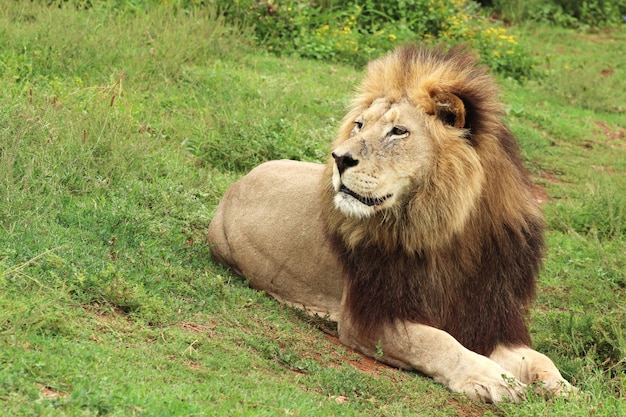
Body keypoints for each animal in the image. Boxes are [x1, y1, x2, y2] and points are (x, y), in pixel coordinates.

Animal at [207, 45, 572, 404]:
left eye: (398, 131)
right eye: (359, 125)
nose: (338, 158)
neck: (451, 235)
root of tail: (238, 182)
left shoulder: (490, 317)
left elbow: (539, 359)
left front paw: (565, 389)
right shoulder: (370, 316)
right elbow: (437, 341)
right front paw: (491, 378)